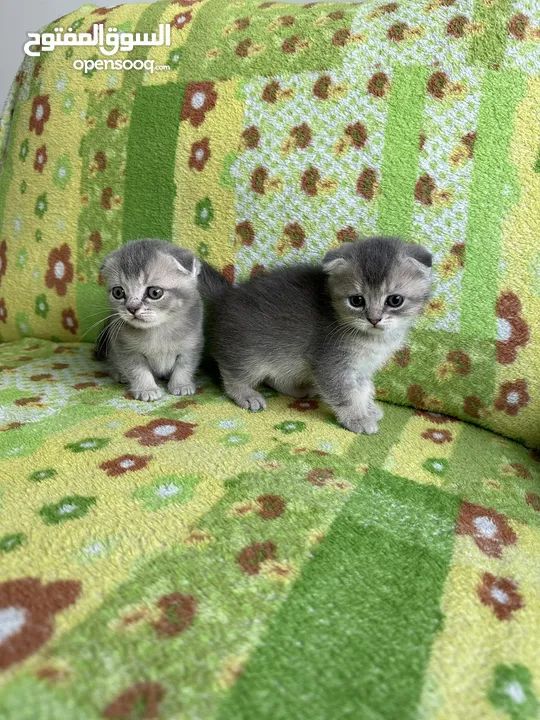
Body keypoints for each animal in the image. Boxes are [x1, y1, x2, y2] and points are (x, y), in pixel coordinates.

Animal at [96, 239, 225, 402]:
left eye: (155, 292)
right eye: (118, 292)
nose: (132, 308)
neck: (158, 330)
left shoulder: (192, 344)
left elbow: (184, 366)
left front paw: (181, 385)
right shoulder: (126, 348)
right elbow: (138, 371)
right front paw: (147, 389)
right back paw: (119, 374)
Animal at [211, 239, 430, 436]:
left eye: (395, 300)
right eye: (357, 301)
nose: (374, 319)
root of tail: (223, 299)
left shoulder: (362, 368)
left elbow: (364, 389)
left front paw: (367, 408)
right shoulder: (330, 363)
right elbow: (345, 394)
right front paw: (357, 418)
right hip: (249, 354)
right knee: (230, 372)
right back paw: (245, 394)